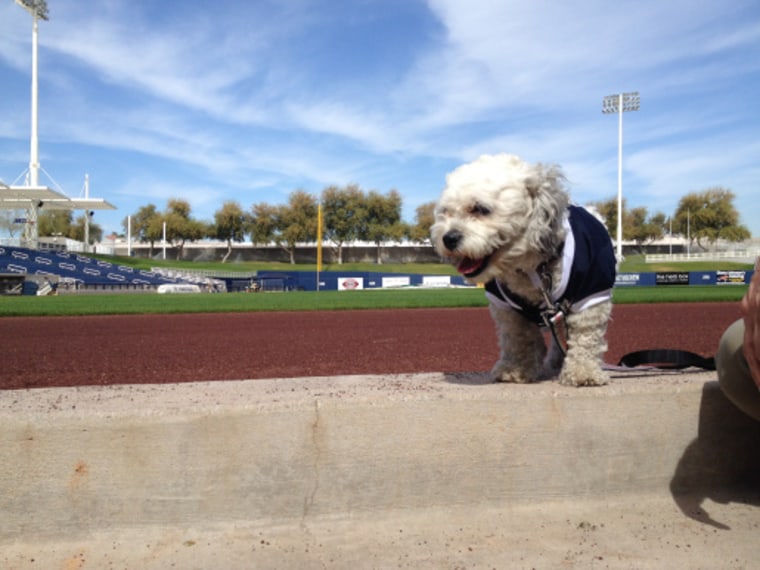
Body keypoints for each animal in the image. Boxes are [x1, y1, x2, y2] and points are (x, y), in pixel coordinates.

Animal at [430, 153, 616, 384]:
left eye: (480, 209)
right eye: (445, 212)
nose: (448, 238)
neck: (530, 267)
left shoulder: (591, 293)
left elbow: (585, 336)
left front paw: (584, 372)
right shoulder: (506, 307)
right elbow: (518, 339)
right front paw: (516, 369)